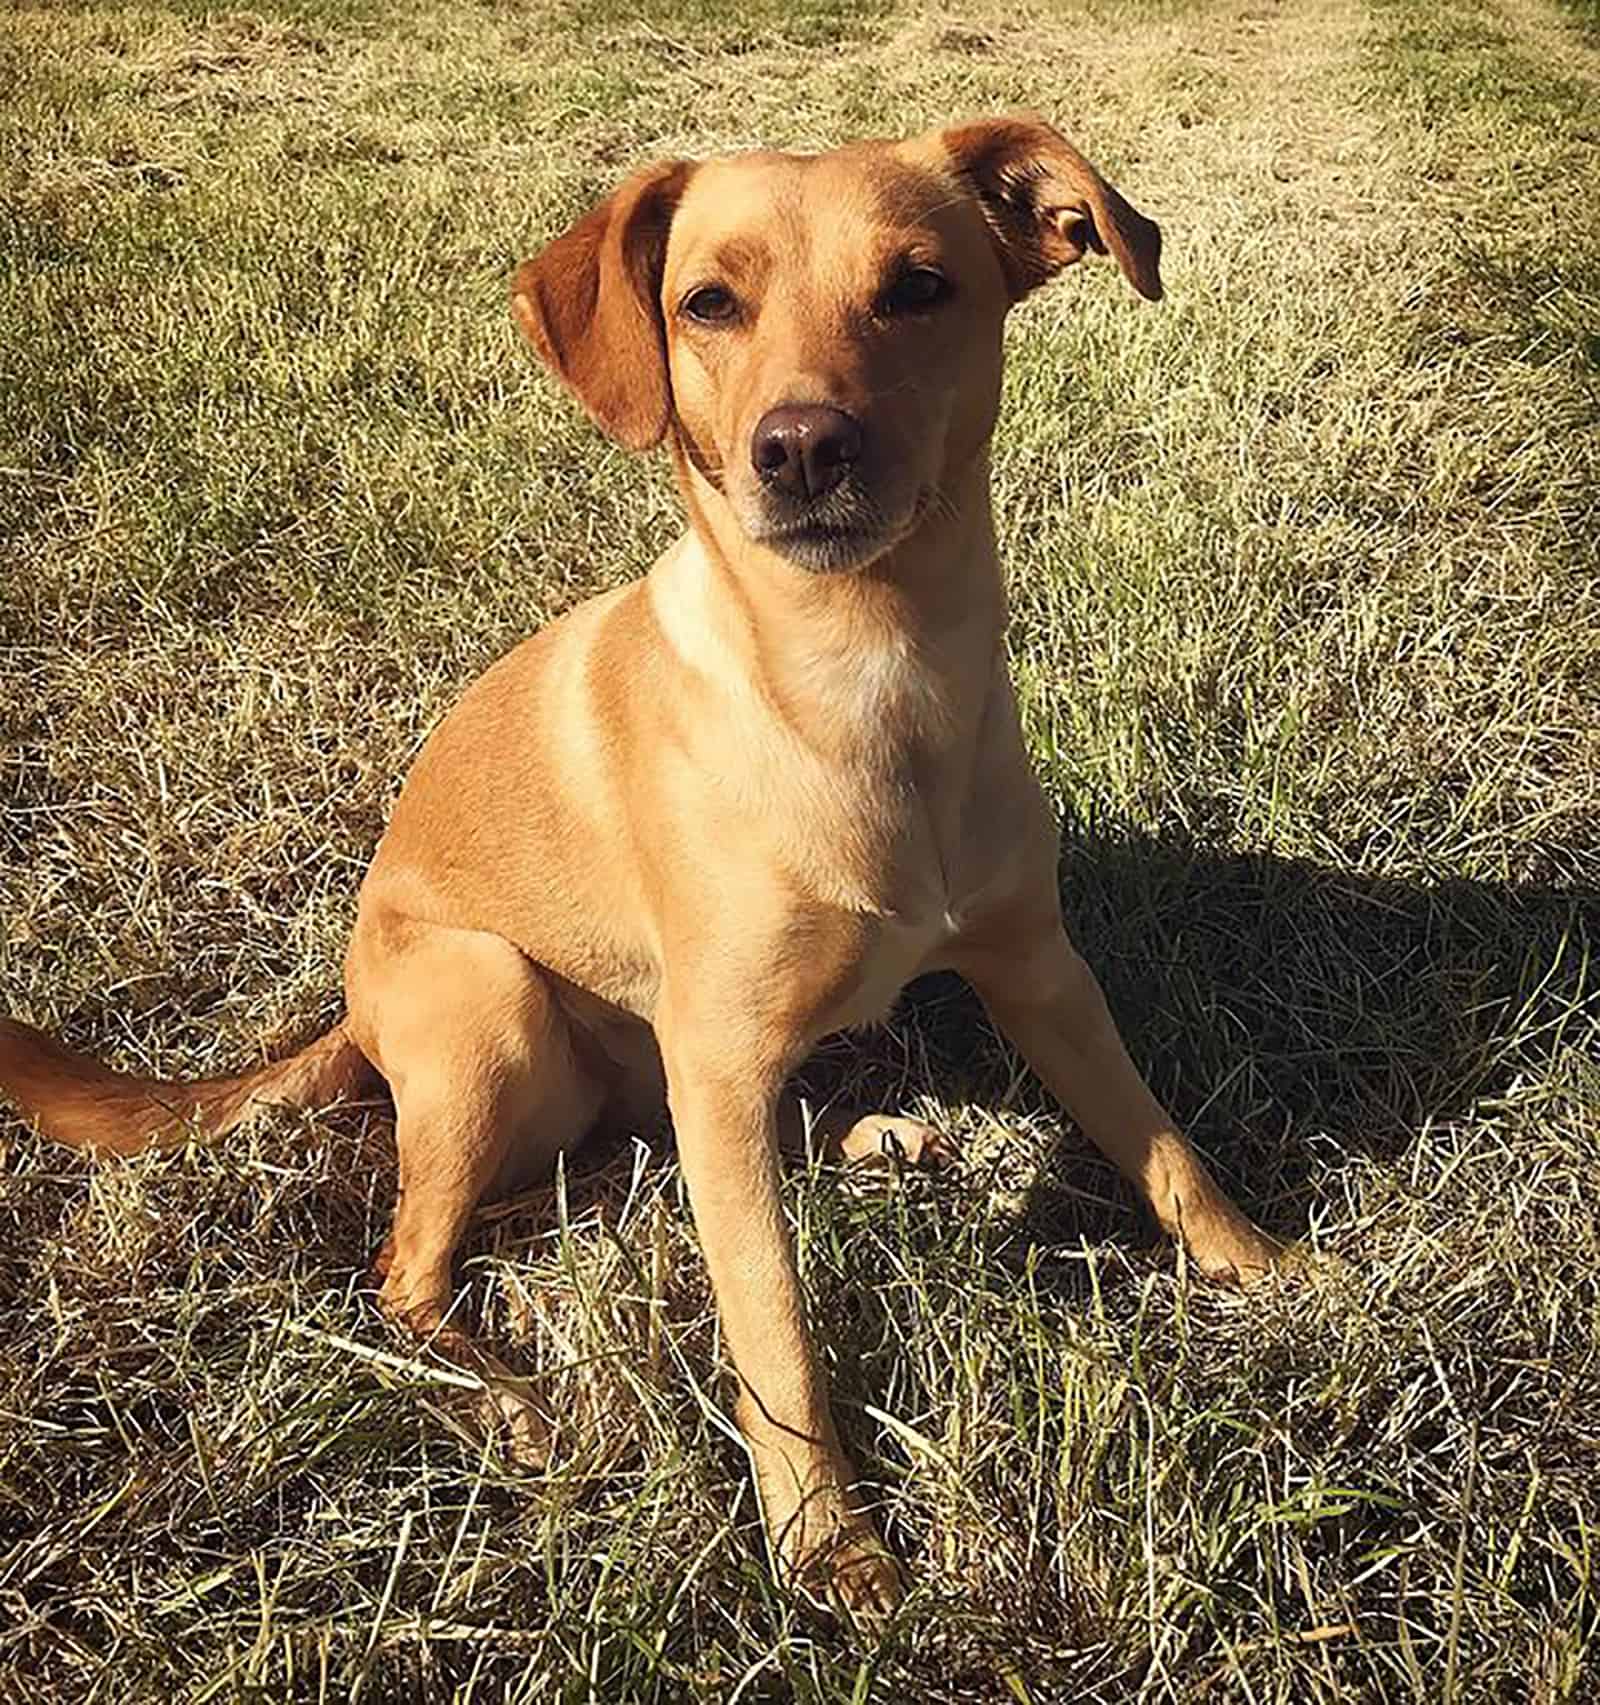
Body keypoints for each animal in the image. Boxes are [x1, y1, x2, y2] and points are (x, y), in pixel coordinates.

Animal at [0, 116, 1275, 1609]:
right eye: (706, 304)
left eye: (918, 287)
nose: (801, 447)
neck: (863, 678)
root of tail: (347, 1017)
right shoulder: (719, 1052)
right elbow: (772, 1322)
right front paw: (826, 1540)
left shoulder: (1038, 966)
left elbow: (1161, 1141)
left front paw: (1273, 1270)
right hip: (491, 1005)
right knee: (409, 1267)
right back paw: (512, 1396)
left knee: (586, 1186)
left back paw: (875, 1140)